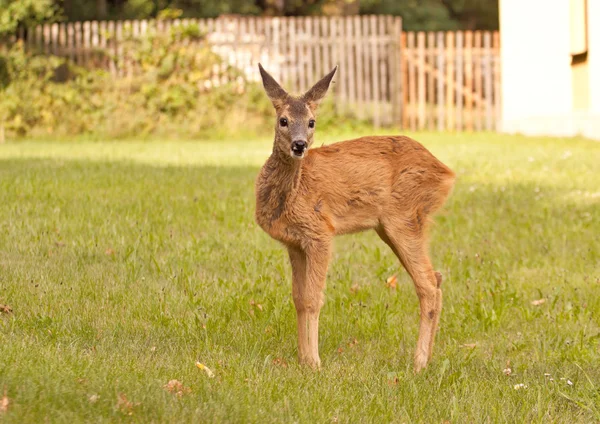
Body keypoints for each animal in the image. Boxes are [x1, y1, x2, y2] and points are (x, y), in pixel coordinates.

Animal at [253, 63, 454, 372]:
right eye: (283, 120)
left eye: (312, 122)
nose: (299, 145)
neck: (294, 193)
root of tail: (446, 172)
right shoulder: (294, 243)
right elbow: (298, 298)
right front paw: (302, 360)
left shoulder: (320, 232)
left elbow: (313, 299)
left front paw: (314, 363)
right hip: (392, 225)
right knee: (437, 277)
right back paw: (427, 359)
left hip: (404, 216)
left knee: (428, 285)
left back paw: (418, 363)